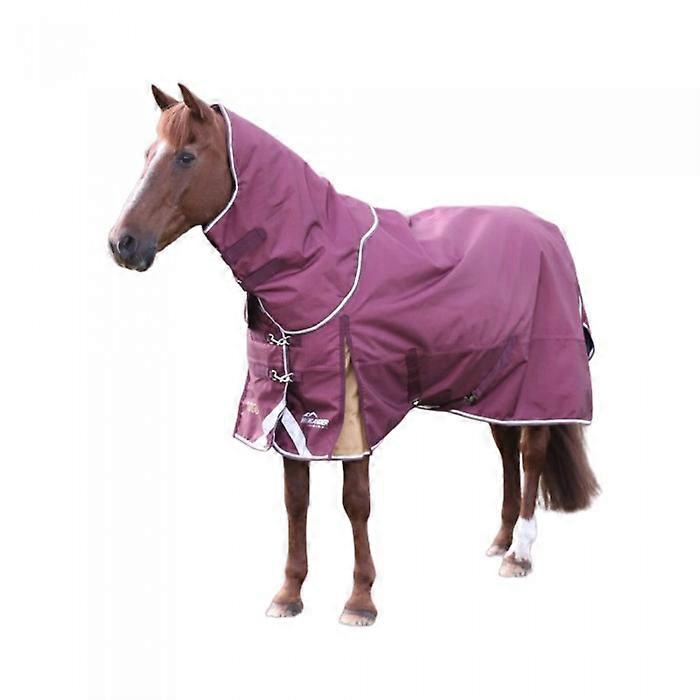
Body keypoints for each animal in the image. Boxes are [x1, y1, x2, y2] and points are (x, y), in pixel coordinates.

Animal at [108, 84, 599, 626]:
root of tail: (550, 233)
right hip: (495, 385)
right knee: (507, 450)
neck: (322, 261)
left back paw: (520, 554)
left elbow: (355, 501)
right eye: (147, 154)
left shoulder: (352, 411)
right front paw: (289, 593)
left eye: (186, 156)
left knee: (531, 453)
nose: (122, 243)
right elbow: (295, 501)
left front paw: (360, 600)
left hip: (539, 382)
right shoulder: (293, 410)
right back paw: (500, 539)